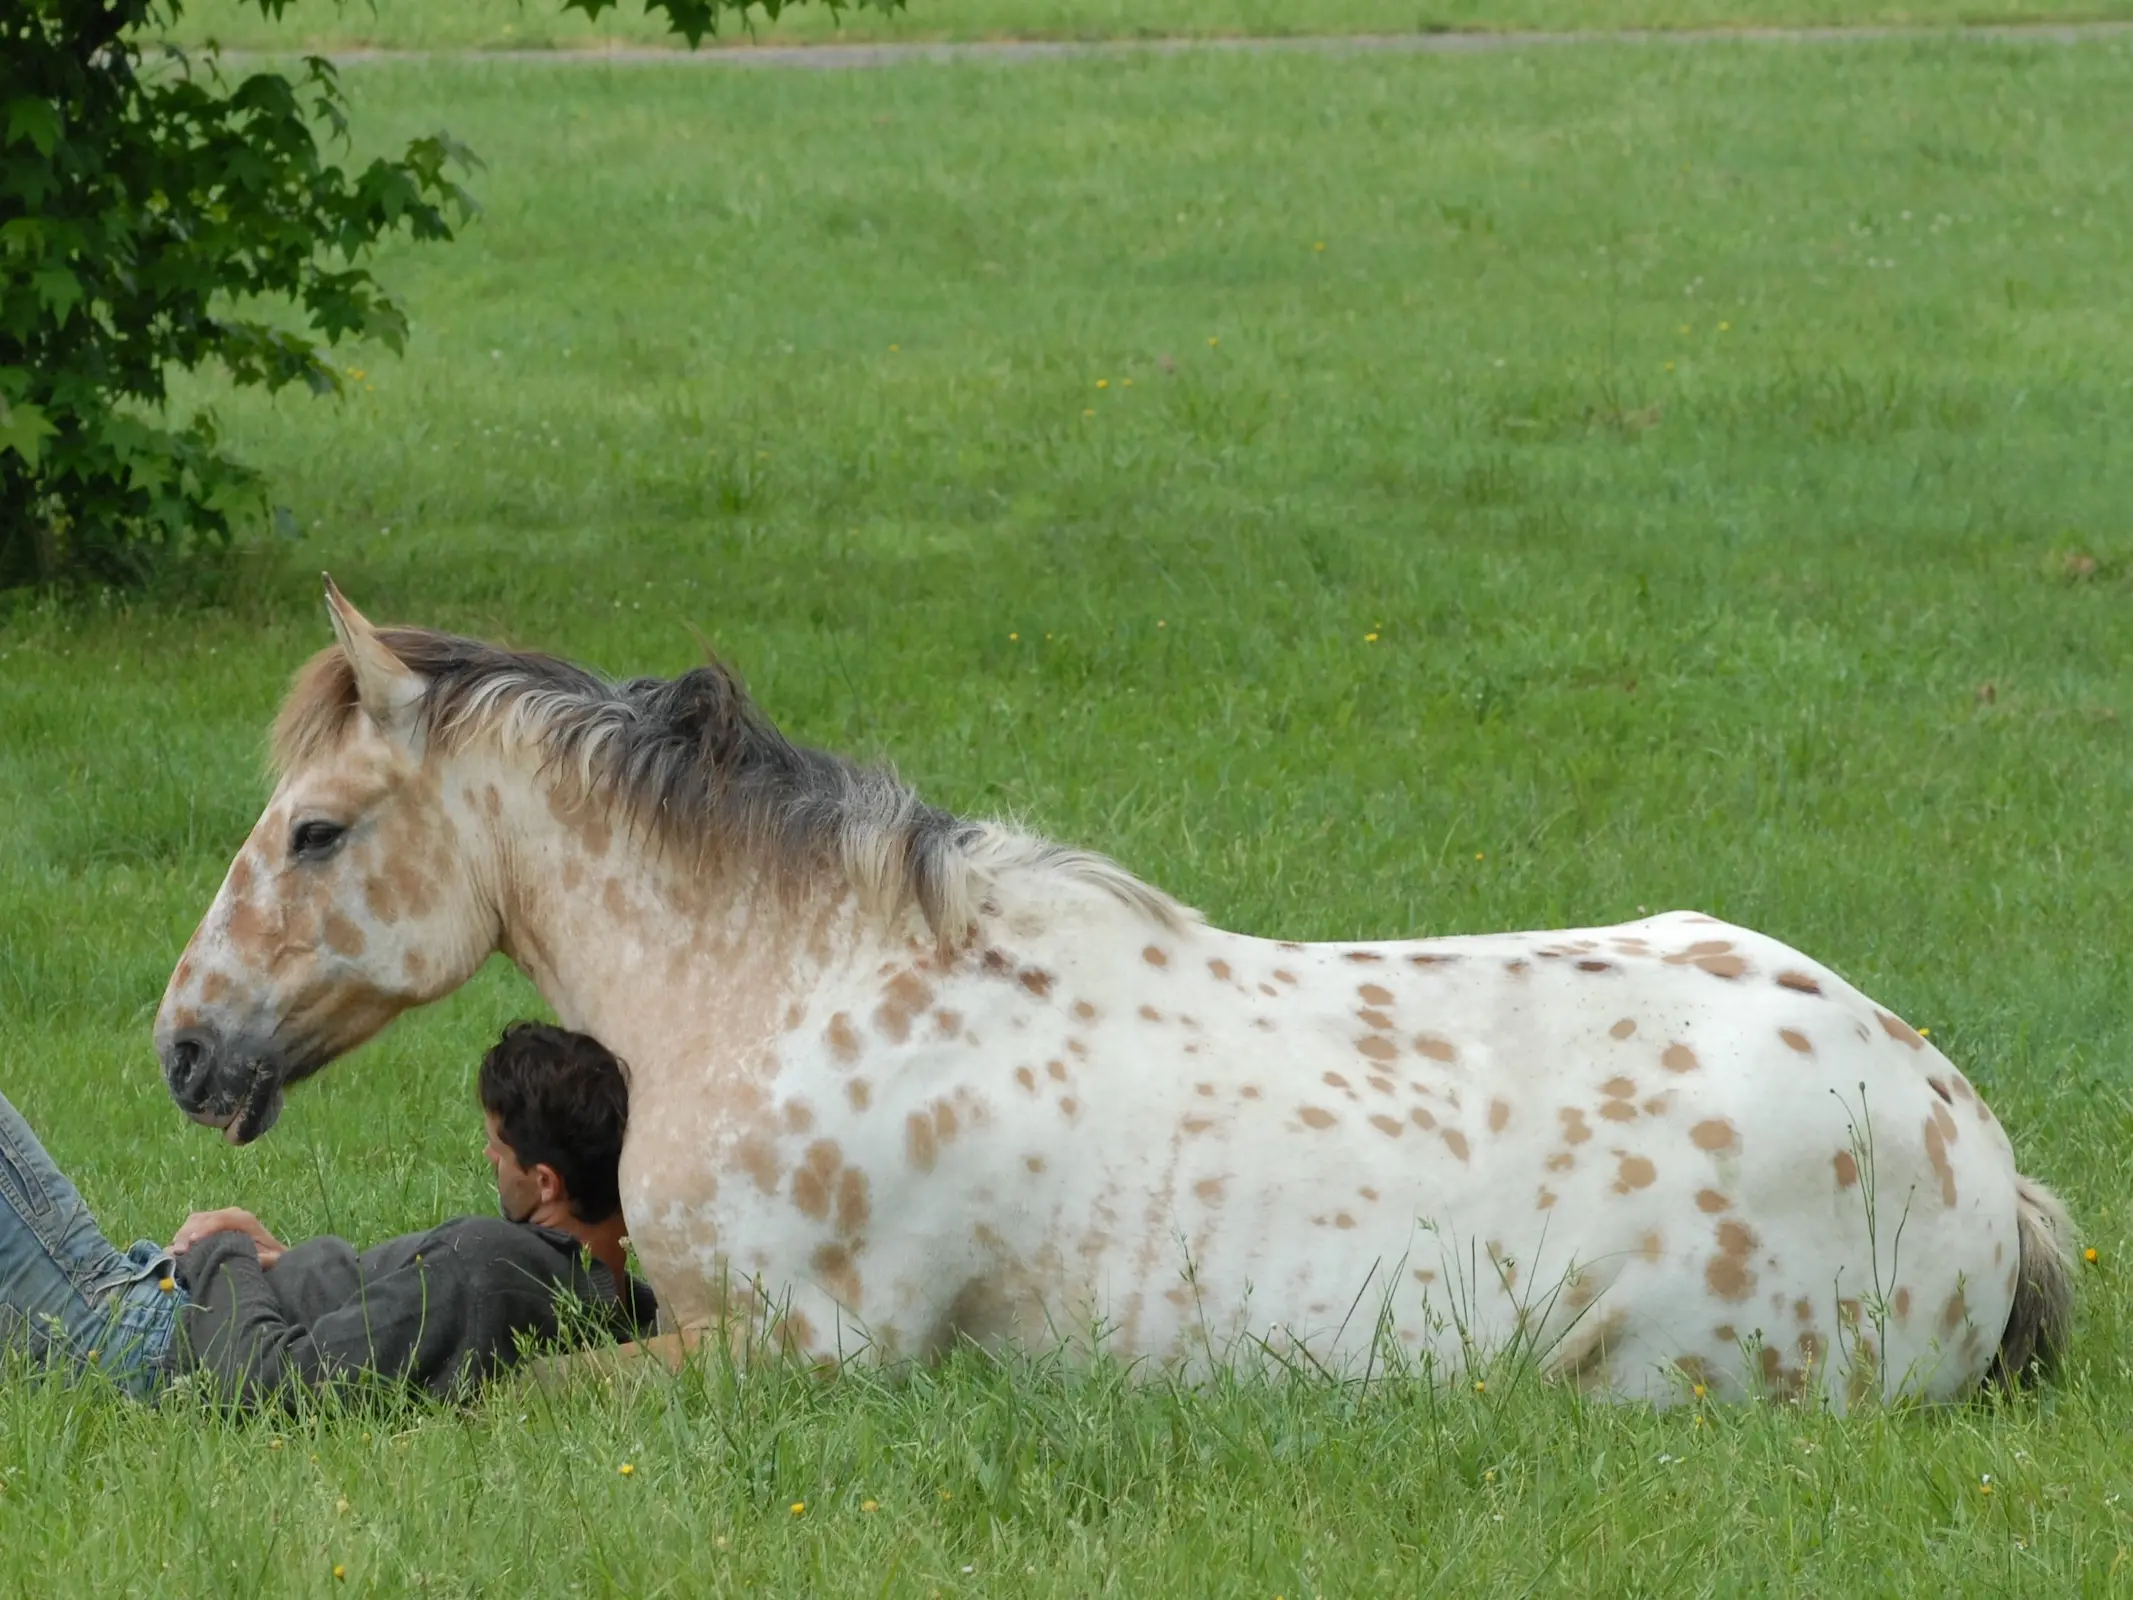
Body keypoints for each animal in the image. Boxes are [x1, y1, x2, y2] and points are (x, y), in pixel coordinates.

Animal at [154, 584, 2081, 1408]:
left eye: (316, 829)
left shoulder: (798, 1360)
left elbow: (499, 1400)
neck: (790, 983)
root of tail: (1973, 1146)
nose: (183, 1047)